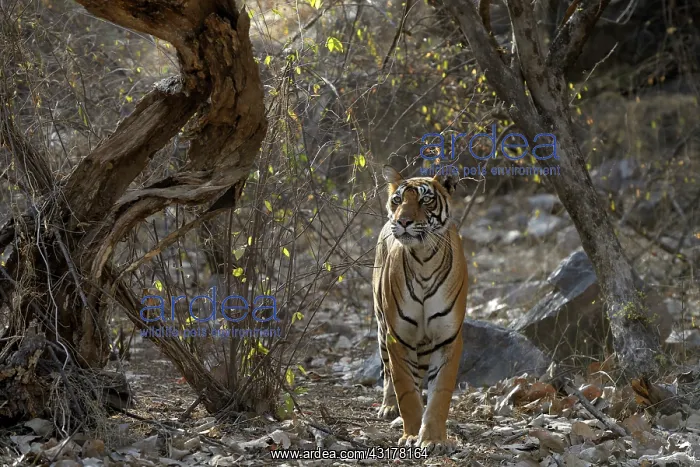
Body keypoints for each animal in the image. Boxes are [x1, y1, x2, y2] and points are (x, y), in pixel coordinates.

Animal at [372, 165, 468, 454]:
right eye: (398, 200)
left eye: (426, 200)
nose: (403, 221)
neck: (424, 259)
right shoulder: (397, 336)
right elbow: (405, 389)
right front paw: (411, 434)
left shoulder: (448, 337)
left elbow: (440, 393)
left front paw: (433, 438)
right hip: (381, 328)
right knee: (389, 373)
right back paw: (388, 408)